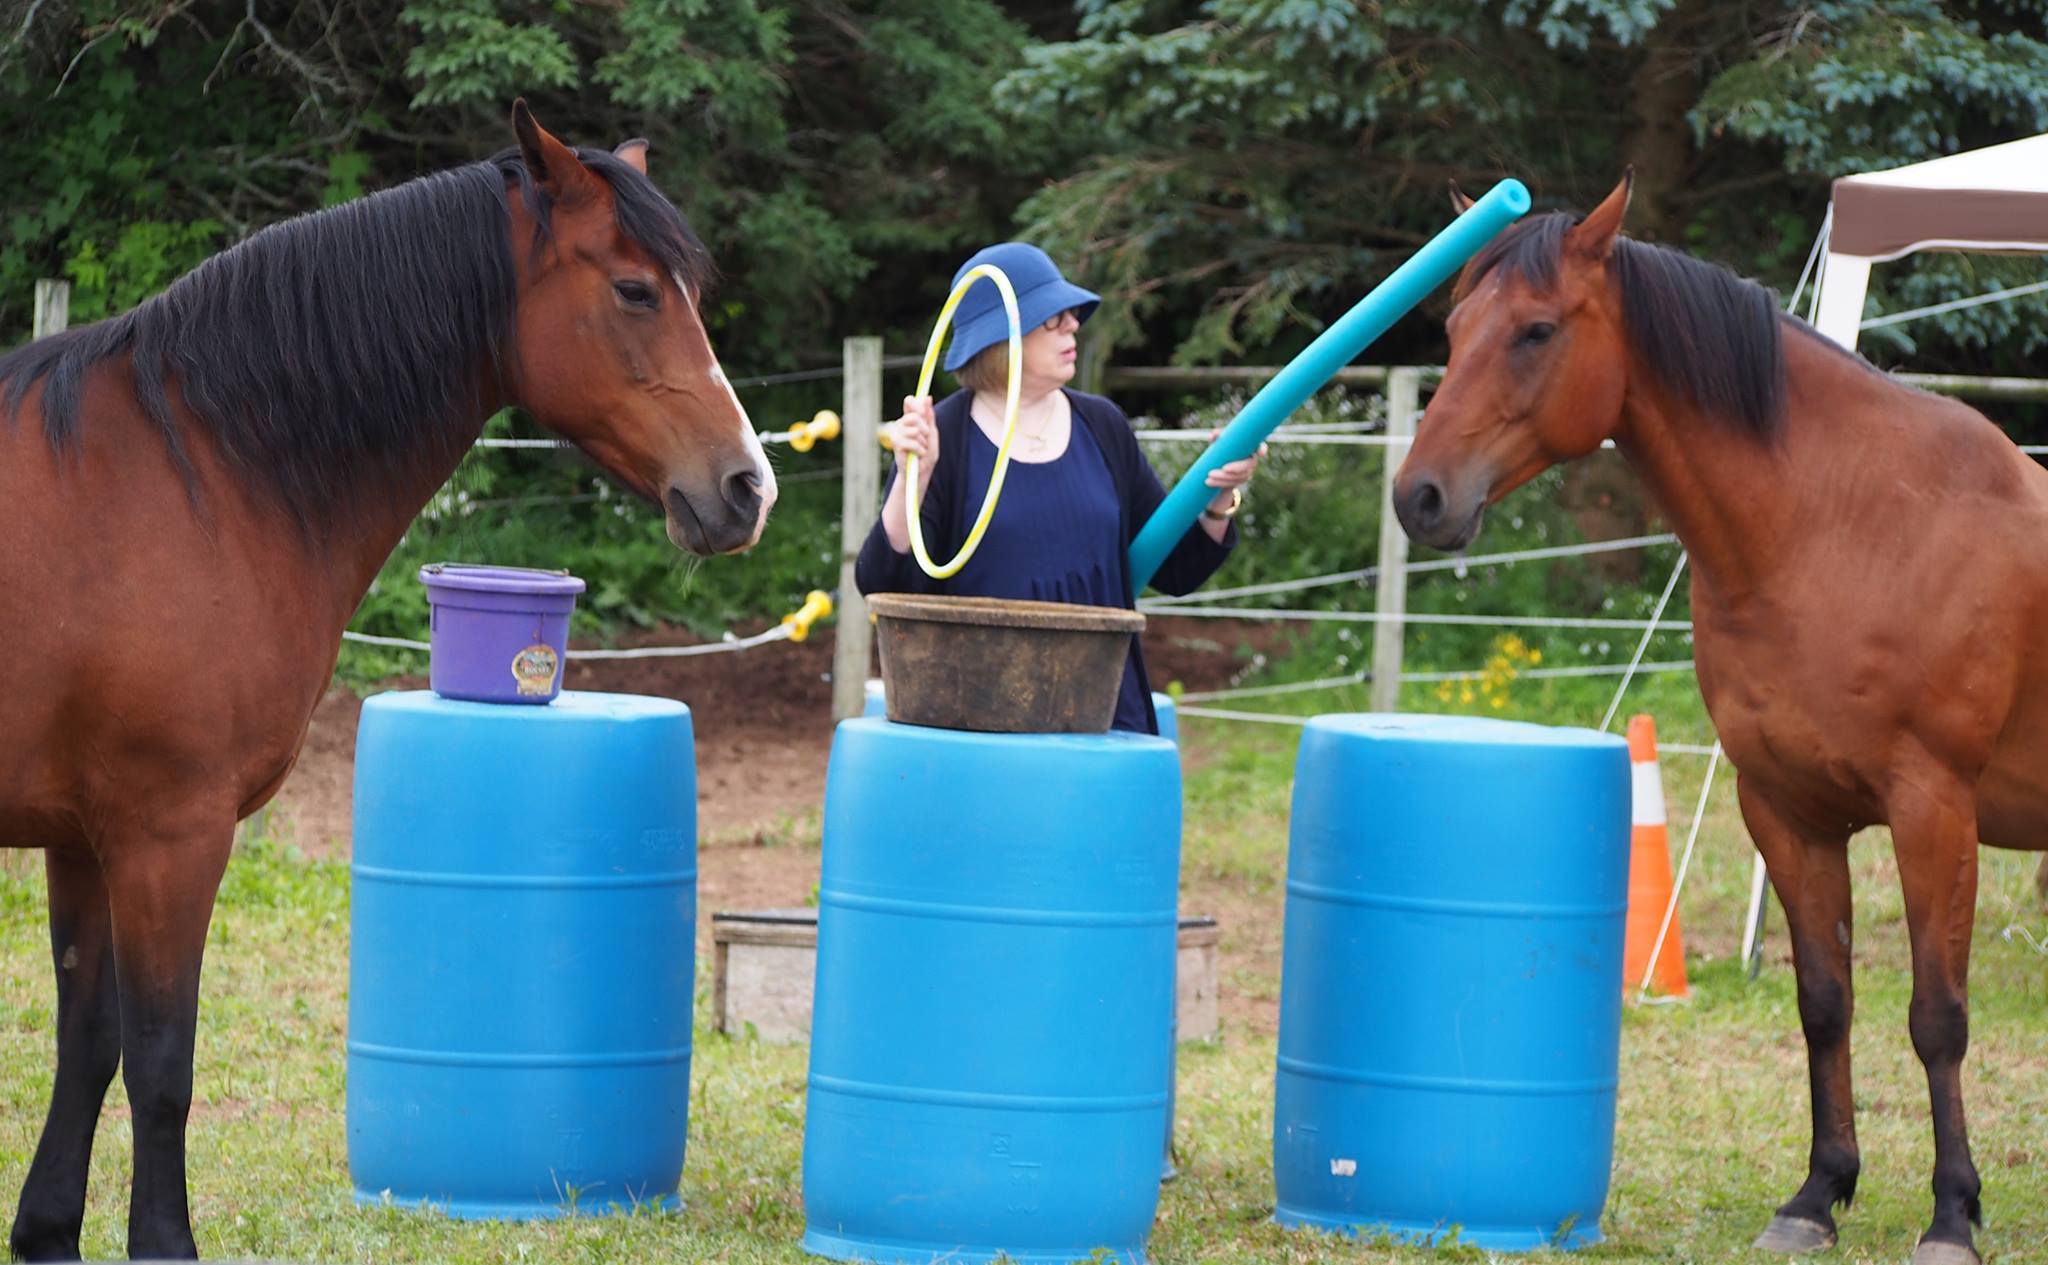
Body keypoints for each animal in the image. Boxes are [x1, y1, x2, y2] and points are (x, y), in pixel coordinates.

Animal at [0, 102, 776, 1260]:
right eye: (637, 289)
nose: (744, 487)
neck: (198, 471)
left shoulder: (84, 834)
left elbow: (88, 1042)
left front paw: (48, 1226)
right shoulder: (166, 831)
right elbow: (163, 1060)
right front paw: (164, 1238)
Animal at [1392, 172, 2044, 1265]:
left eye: (1534, 330)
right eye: (1452, 327)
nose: (1419, 497)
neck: (1847, 522)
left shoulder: (1932, 813)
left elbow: (1936, 1015)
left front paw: (1952, 1211)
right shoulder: (1785, 809)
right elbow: (1823, 1002)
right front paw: (1818, 1193)